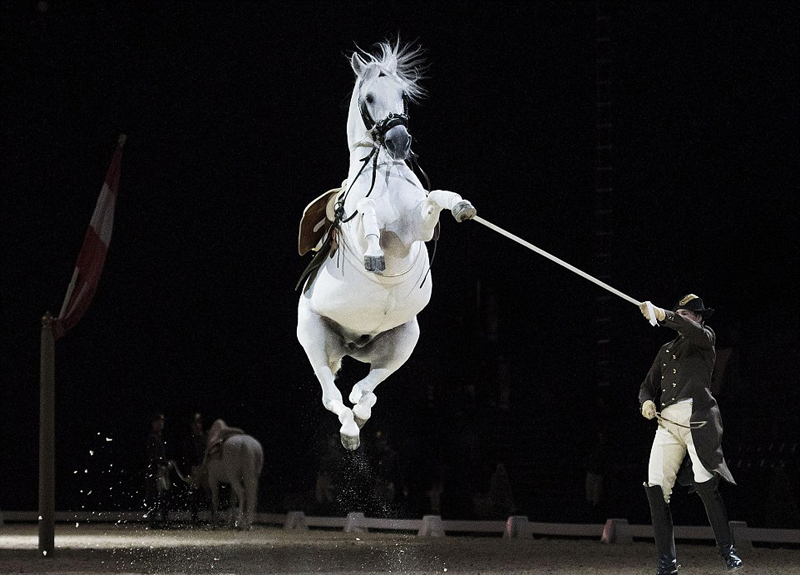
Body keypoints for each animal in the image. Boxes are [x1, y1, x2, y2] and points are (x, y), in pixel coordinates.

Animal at [296, 40, 476, 451]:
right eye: (369, 97)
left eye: (403, 97)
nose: (399, 141)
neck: (386, 175)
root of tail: (353, 343)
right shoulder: (357, 219)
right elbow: (366, 209)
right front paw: (375, 255)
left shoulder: (417, 231)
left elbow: (434, 200)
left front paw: (461, 205)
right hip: (312, 336)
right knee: (331, 395)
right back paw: (349, 430)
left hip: (404, 339)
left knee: (369, 386)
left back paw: (361, 409)